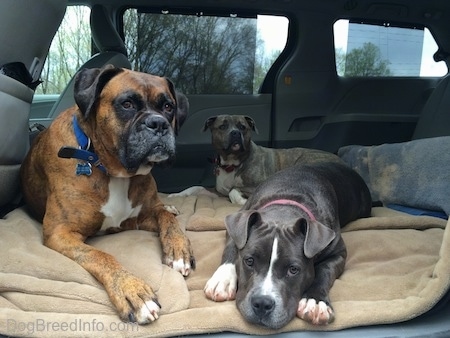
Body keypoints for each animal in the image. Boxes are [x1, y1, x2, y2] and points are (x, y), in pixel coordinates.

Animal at [21, 64, 194, 324]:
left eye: (168, 107)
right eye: (127, 104)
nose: (159, 123)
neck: (111, 169)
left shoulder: (138, 219)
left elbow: (166, 218)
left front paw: (179, 249)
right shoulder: (60, 233)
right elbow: (100, 255)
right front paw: (133, 290)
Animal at [205, 162, 372, 328]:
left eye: (293, 269)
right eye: (249, 261)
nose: (262, 303)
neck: (285, 208)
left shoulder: (338, 252)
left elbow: (325, 269)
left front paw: (315, 301)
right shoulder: (237, 225)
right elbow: (231, 249)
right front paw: (222, 280)